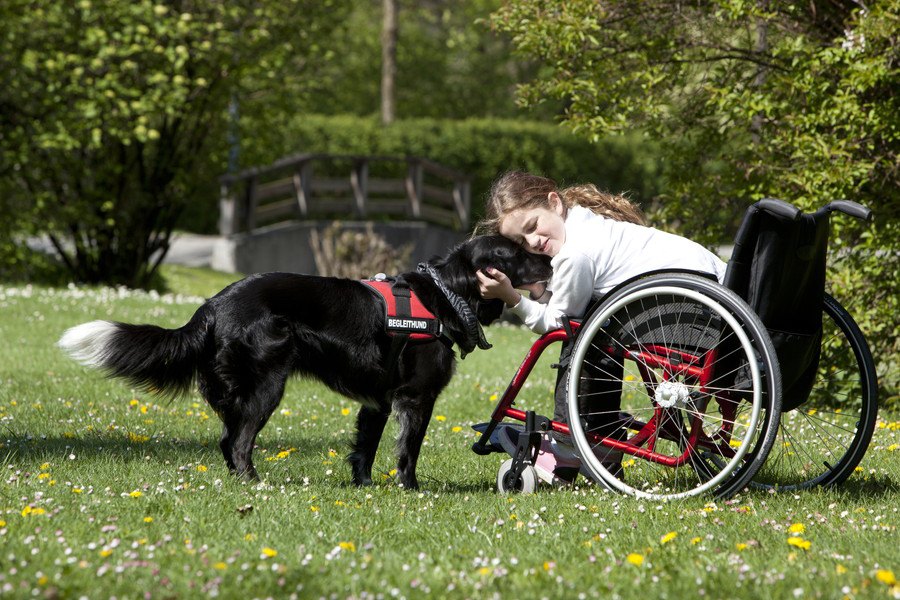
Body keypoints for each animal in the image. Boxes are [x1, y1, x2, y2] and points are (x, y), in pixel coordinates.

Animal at [59, 234, 552, 488]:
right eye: (514, 254)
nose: (550, 258)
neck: (444, 295)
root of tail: (213, 305)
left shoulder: (377, 399)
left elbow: (365, 448)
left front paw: (364, 488)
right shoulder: (416, 396)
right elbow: (408, 450)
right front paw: (409, 490)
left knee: (226, 440)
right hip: (266, 384)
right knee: (239, 442)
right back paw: (255, 483)